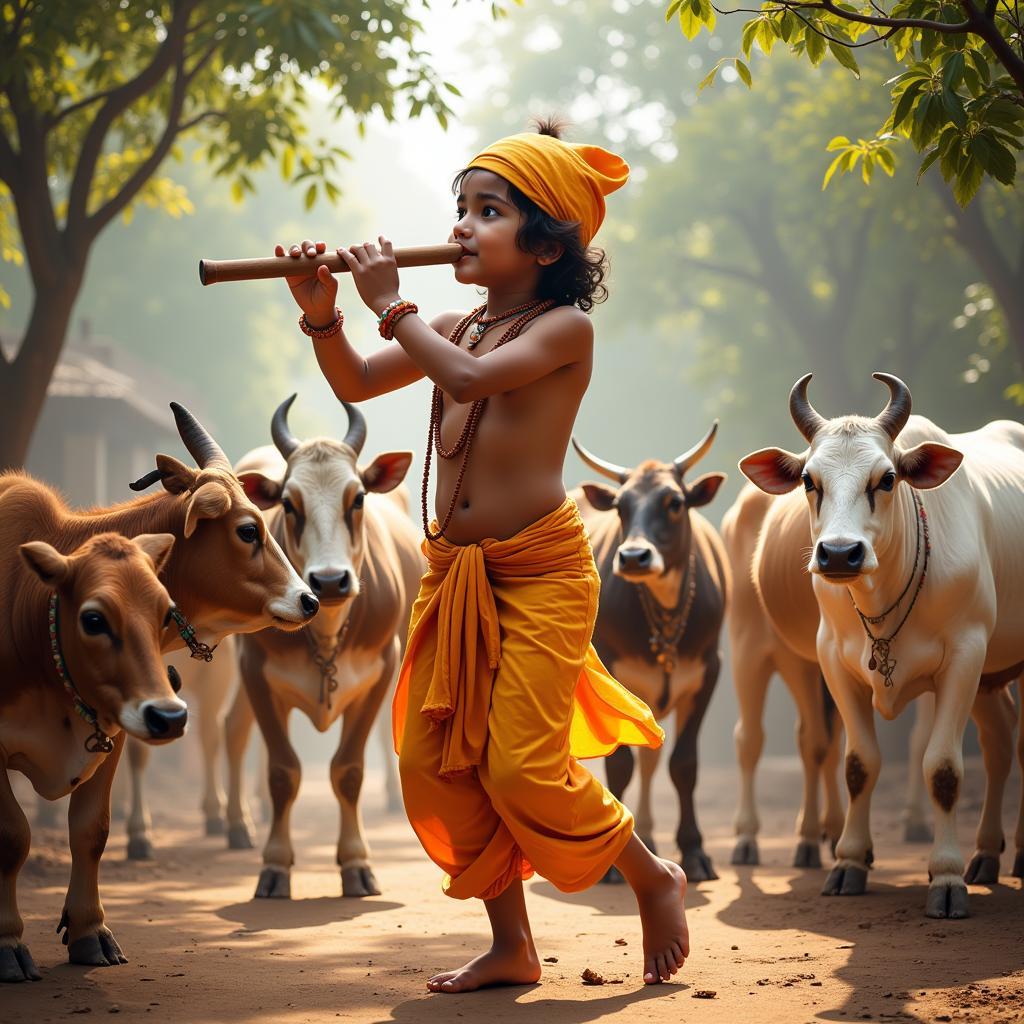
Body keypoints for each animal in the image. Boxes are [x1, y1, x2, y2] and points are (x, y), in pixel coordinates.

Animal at [1, 524, 181, 978]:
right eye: (94, 619)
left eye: (167, 613)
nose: (169, 716)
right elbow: (12, 836)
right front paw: (7, 944)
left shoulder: (111, 735)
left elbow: (91, 831)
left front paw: (90, 933)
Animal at [745, 374, 1024, 921]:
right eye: (809, 480)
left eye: (888, 479)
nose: (838, 554)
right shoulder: (834, 660)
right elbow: (859, 764)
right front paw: (849, 861)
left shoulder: (965, 656)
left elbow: (943, 768)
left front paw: (945, 876)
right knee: (1000, 742)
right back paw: (986, 853)